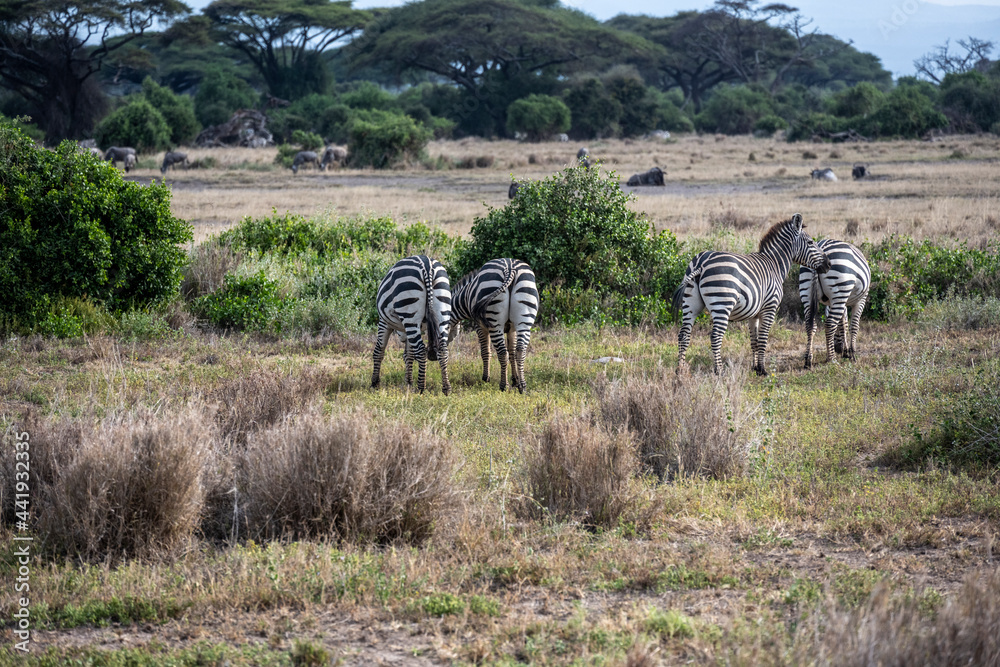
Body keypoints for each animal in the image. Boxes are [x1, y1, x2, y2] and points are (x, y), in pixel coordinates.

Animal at [371, 255, 452, 395]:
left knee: (421, 350)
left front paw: (375, 383)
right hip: (442, 311)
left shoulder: (384, 321)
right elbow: (408, 354)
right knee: (443, 349)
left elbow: (379, 350)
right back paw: (446, 388)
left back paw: (421, 388)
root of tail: (427, 265)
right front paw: (408, 382)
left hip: (409, 310)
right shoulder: (412, 328)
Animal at [450, 259, 539, 393]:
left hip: (494, 322)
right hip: (525, 317)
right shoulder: (512, 329)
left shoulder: (480, 326)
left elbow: (485, 351)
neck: (466, 297)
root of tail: (510, 268)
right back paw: (522, 386)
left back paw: (503, 386)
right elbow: (512, 352)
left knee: (502, 352)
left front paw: (485, 378)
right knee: (520, 350)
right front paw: (515, 380)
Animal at [672, 213, 831, 376]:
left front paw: (755, 368)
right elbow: (763, 339)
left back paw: (680, 370)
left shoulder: (753, 313)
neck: (775, 264)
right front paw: (763, 369)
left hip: (690, 304)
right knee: (715, 337)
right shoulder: (770, 308)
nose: (829, 264)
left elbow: (754, 341)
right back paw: (719, 371)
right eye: (811, 242)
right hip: (722, 303)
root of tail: (702, 263)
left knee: (684, 334)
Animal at [798, 239, 871, 369]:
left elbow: (843, 324)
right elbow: (853, 325)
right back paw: (831, 359)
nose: (837, 349)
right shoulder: (861, 299)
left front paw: (845, 351)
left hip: (806, 290)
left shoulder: (838, 302)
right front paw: (852, 353)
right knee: (830, 324)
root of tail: (821, 245)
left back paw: (808, 360)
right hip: (840, 287)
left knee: (810, 325)